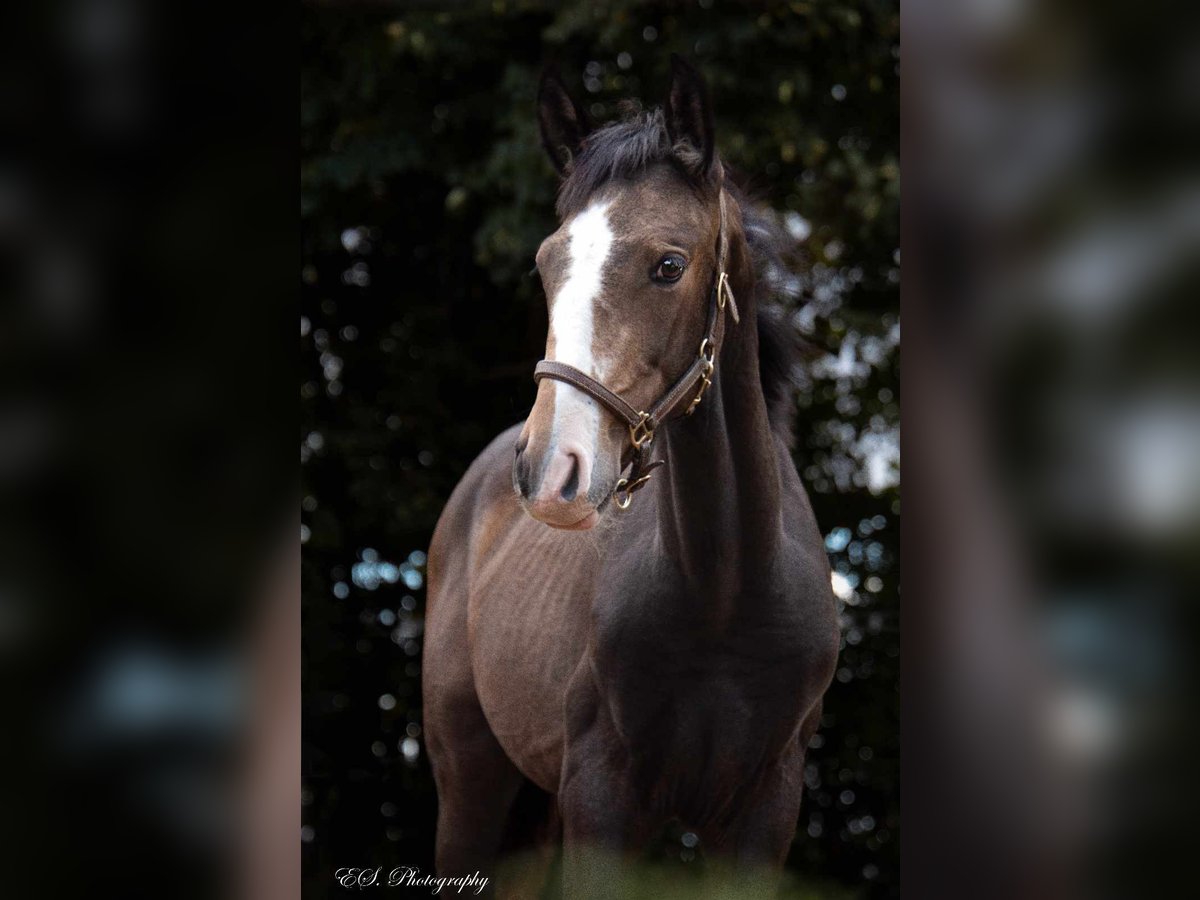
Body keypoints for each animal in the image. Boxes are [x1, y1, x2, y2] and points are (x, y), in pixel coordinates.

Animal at [427, 60, 840, 897]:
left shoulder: (763, 816)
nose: (551, 470)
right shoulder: (604, 802)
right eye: (546, 264)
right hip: (472, 784)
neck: (725, 591)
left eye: (668, 265)